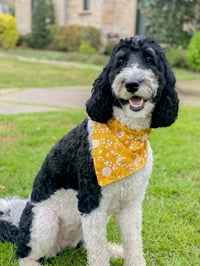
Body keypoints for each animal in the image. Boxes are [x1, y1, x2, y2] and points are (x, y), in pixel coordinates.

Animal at [0, 35, 178, 266]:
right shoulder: (91, 203)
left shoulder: (131, 203)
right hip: (44, 222)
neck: (127, 135)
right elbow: (97, 252)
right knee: (24, 253)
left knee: (86, 245)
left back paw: (113, 250)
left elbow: (133, 241)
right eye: (120, 61)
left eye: (150, 59)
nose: (131, 84)